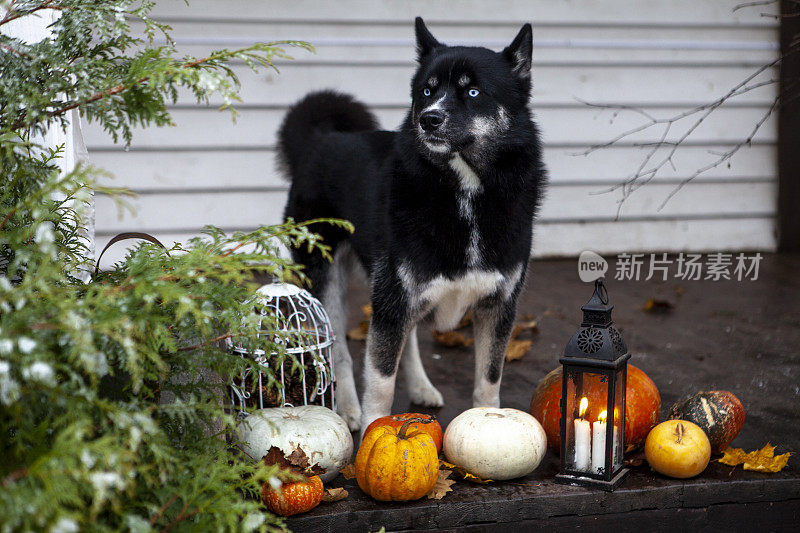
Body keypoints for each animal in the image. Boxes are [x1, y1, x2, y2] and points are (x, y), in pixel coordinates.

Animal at [278, 17, 548, 432]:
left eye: (473, 91)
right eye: (427, 90)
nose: (428, 118)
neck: (464, 189)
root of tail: (322, 139)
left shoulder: (497, 307)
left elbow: (489, 380)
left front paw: (489, 422)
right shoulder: (393, 301)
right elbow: (380, 386)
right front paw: (371, 430)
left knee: (408, 342)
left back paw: (420, 386)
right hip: (326, 276)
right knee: (339, 349)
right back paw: (347, 407)